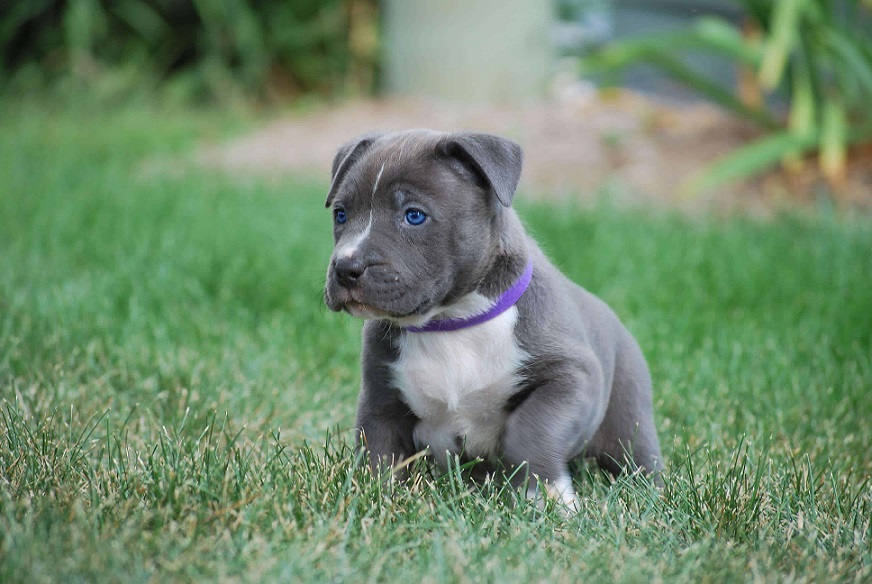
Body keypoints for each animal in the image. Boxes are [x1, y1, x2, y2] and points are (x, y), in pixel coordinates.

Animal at [322, 130, 660, 508]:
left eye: (414, 216)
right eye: (341, 214)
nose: (346, 267)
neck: (452, 320)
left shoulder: (571, 376)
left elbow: (531, 430)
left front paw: (548, 497)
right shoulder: (381, 396)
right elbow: (378, 449)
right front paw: (377, 497)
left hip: (628, 415)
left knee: (638, 457)